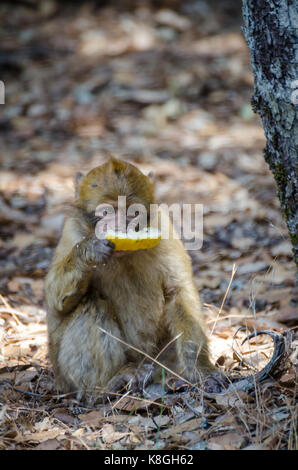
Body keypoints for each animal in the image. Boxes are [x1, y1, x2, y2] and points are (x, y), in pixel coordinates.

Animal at [44, 157, 217, 400]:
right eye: (107, 212)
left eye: (133, 212)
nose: (120, 227)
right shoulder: (72, 233)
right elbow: (55, 302)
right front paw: (89, 251)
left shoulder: (164, 228)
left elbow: (179, 292)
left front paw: (200, 369)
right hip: (64, 376)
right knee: (92, 305)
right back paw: (105, 386)